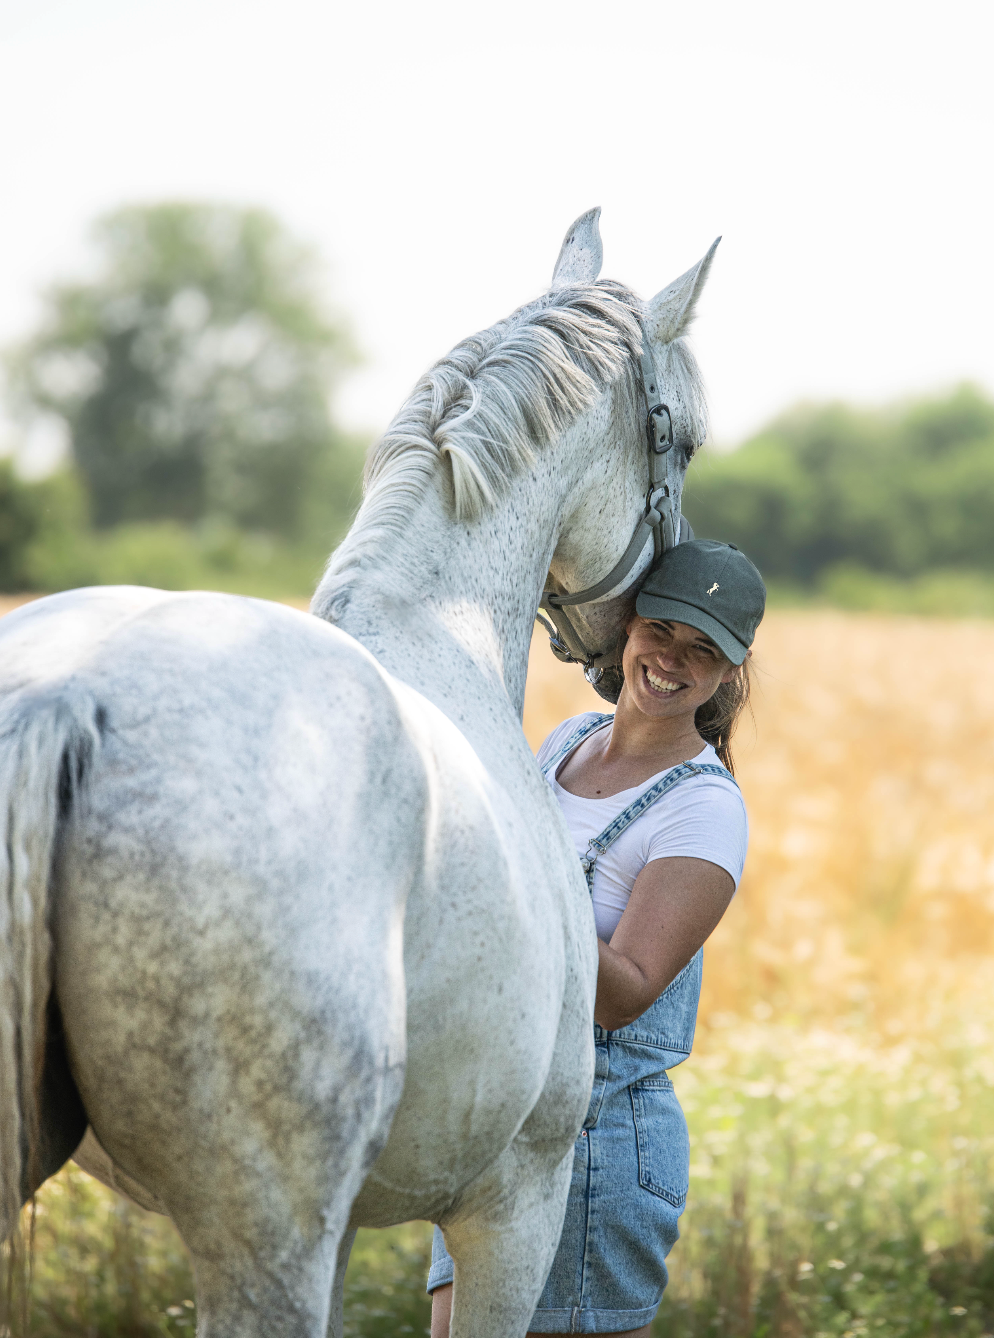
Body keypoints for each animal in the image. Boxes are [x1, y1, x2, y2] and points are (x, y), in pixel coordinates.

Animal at [0, 208, 717, 1338]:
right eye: (683, 437)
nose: (632, 642)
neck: (439, 632)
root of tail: (69, 696)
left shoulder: (348, 1231)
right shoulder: (516, 1204)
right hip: (266, 1243)